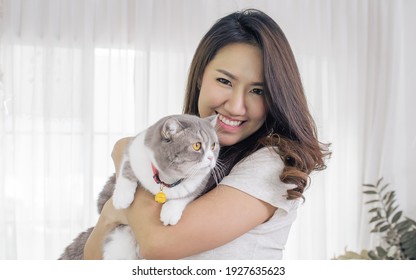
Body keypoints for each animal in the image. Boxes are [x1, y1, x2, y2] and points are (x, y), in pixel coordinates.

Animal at [60, 114, 221, 260]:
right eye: (197, 146)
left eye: (214, 145)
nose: (211, 158)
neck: (167, 179)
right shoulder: (132, 151)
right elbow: (126, 171)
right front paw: (122, 198)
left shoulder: (199, 183)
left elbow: (185, 196)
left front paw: (170, 212)